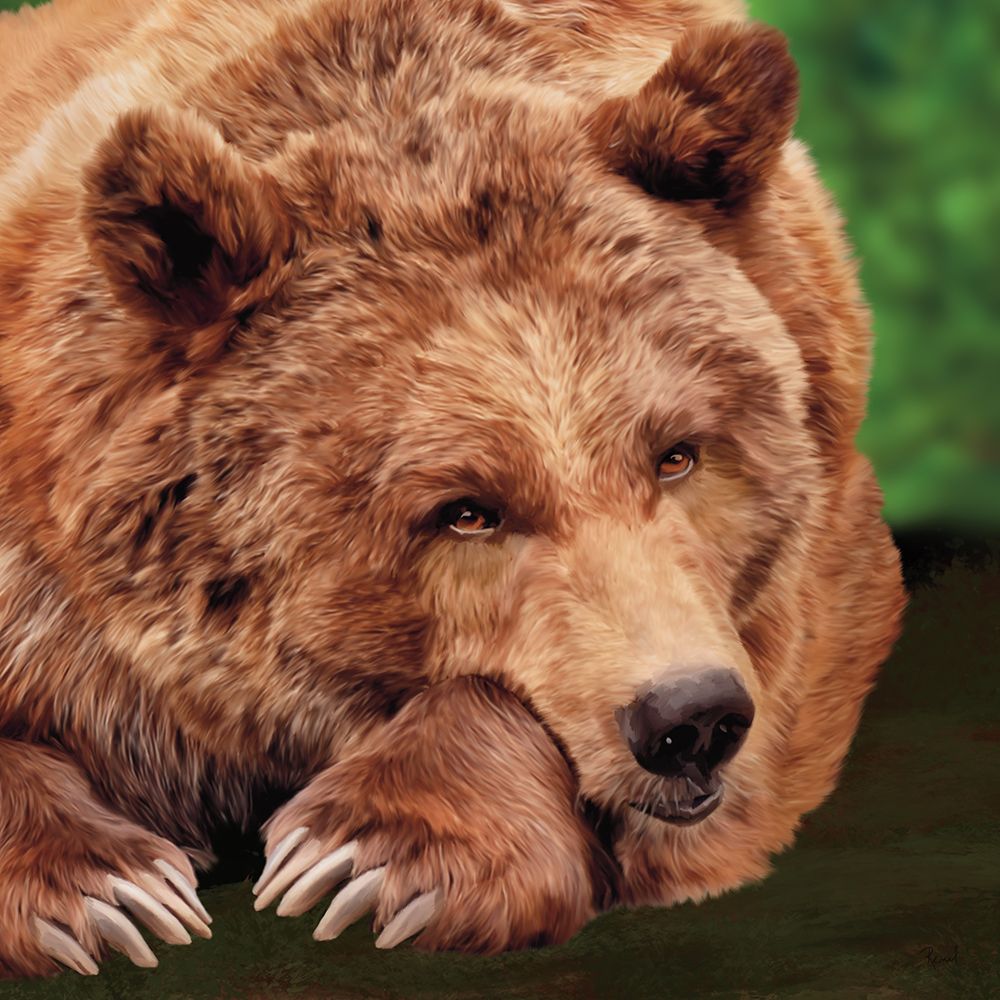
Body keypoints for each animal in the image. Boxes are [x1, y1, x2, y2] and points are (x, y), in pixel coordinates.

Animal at [0, 0, 906, 979]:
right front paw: (106, 892)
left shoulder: (805, 591)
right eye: (466, 511)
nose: (690, 718)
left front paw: (367, 858)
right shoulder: (56, 583)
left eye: (677, 454)